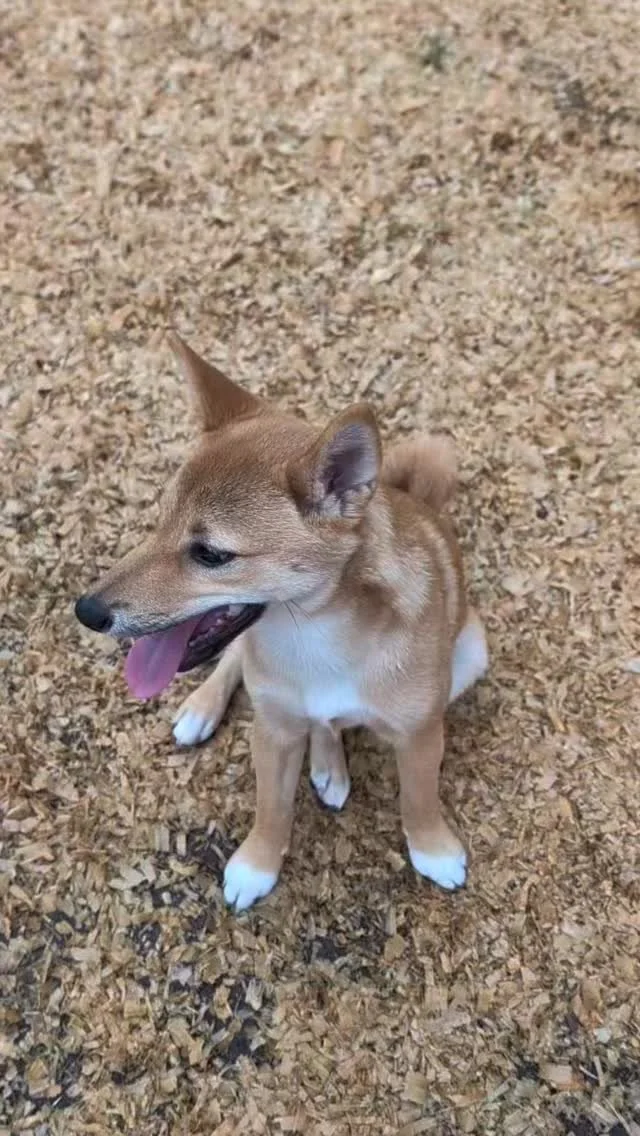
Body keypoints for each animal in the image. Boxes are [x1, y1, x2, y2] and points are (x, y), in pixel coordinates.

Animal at [75, 333, 488, 910]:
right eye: (158, 524)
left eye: (210, 554)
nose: (87, 611)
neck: (317, 635)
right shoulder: (271, 732)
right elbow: (272, 809)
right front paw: (256, 866)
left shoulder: (420, 735)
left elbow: (419, 798)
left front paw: (433, 849)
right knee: (241, 668)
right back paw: (205, 708)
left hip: (471, 655)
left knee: (329, 722)